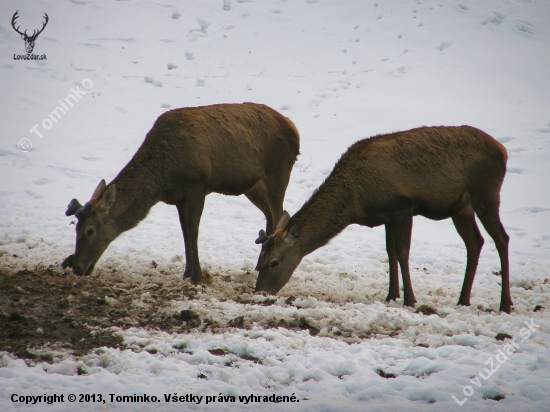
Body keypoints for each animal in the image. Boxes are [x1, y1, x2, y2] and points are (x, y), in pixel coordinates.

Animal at [64, 102, 302, 284]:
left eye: (90, 231)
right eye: (75, 229)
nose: (77, 267)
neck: (163, 178)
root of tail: (294, 129)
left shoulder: (196, 184)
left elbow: (193, 230)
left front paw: (197, 276)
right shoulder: (178, 197)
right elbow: (185, 231)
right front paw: (187, 273)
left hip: (278, 172)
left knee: (279, 214)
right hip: (252, 187)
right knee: (270, 216)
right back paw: (258, 265)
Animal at [256, 125, 516, 312]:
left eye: (274, 262)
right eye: (259, 261)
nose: (260, 292)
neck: (355, 201)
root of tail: (503, 151)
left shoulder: (402, 207)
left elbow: (402, 251)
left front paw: (409, 299)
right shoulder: (386, 216)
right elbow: (390, 252)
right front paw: (391, 295)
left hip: (486, 193)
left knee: (502, 239)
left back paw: (505, 303)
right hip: (461, 207)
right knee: (475, 242)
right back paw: (463, 299)